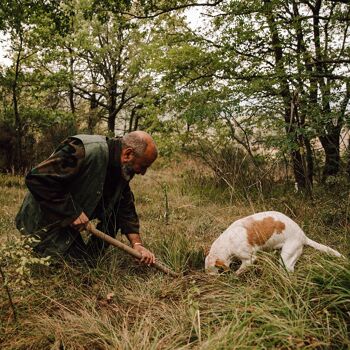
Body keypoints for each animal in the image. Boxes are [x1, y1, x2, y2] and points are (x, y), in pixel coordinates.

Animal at [204, 211, 344, 274]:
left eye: (216, 270)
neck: (227, 242)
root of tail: (303, 236)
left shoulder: (249, 259)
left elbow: (239, 271)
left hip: (286, 258)